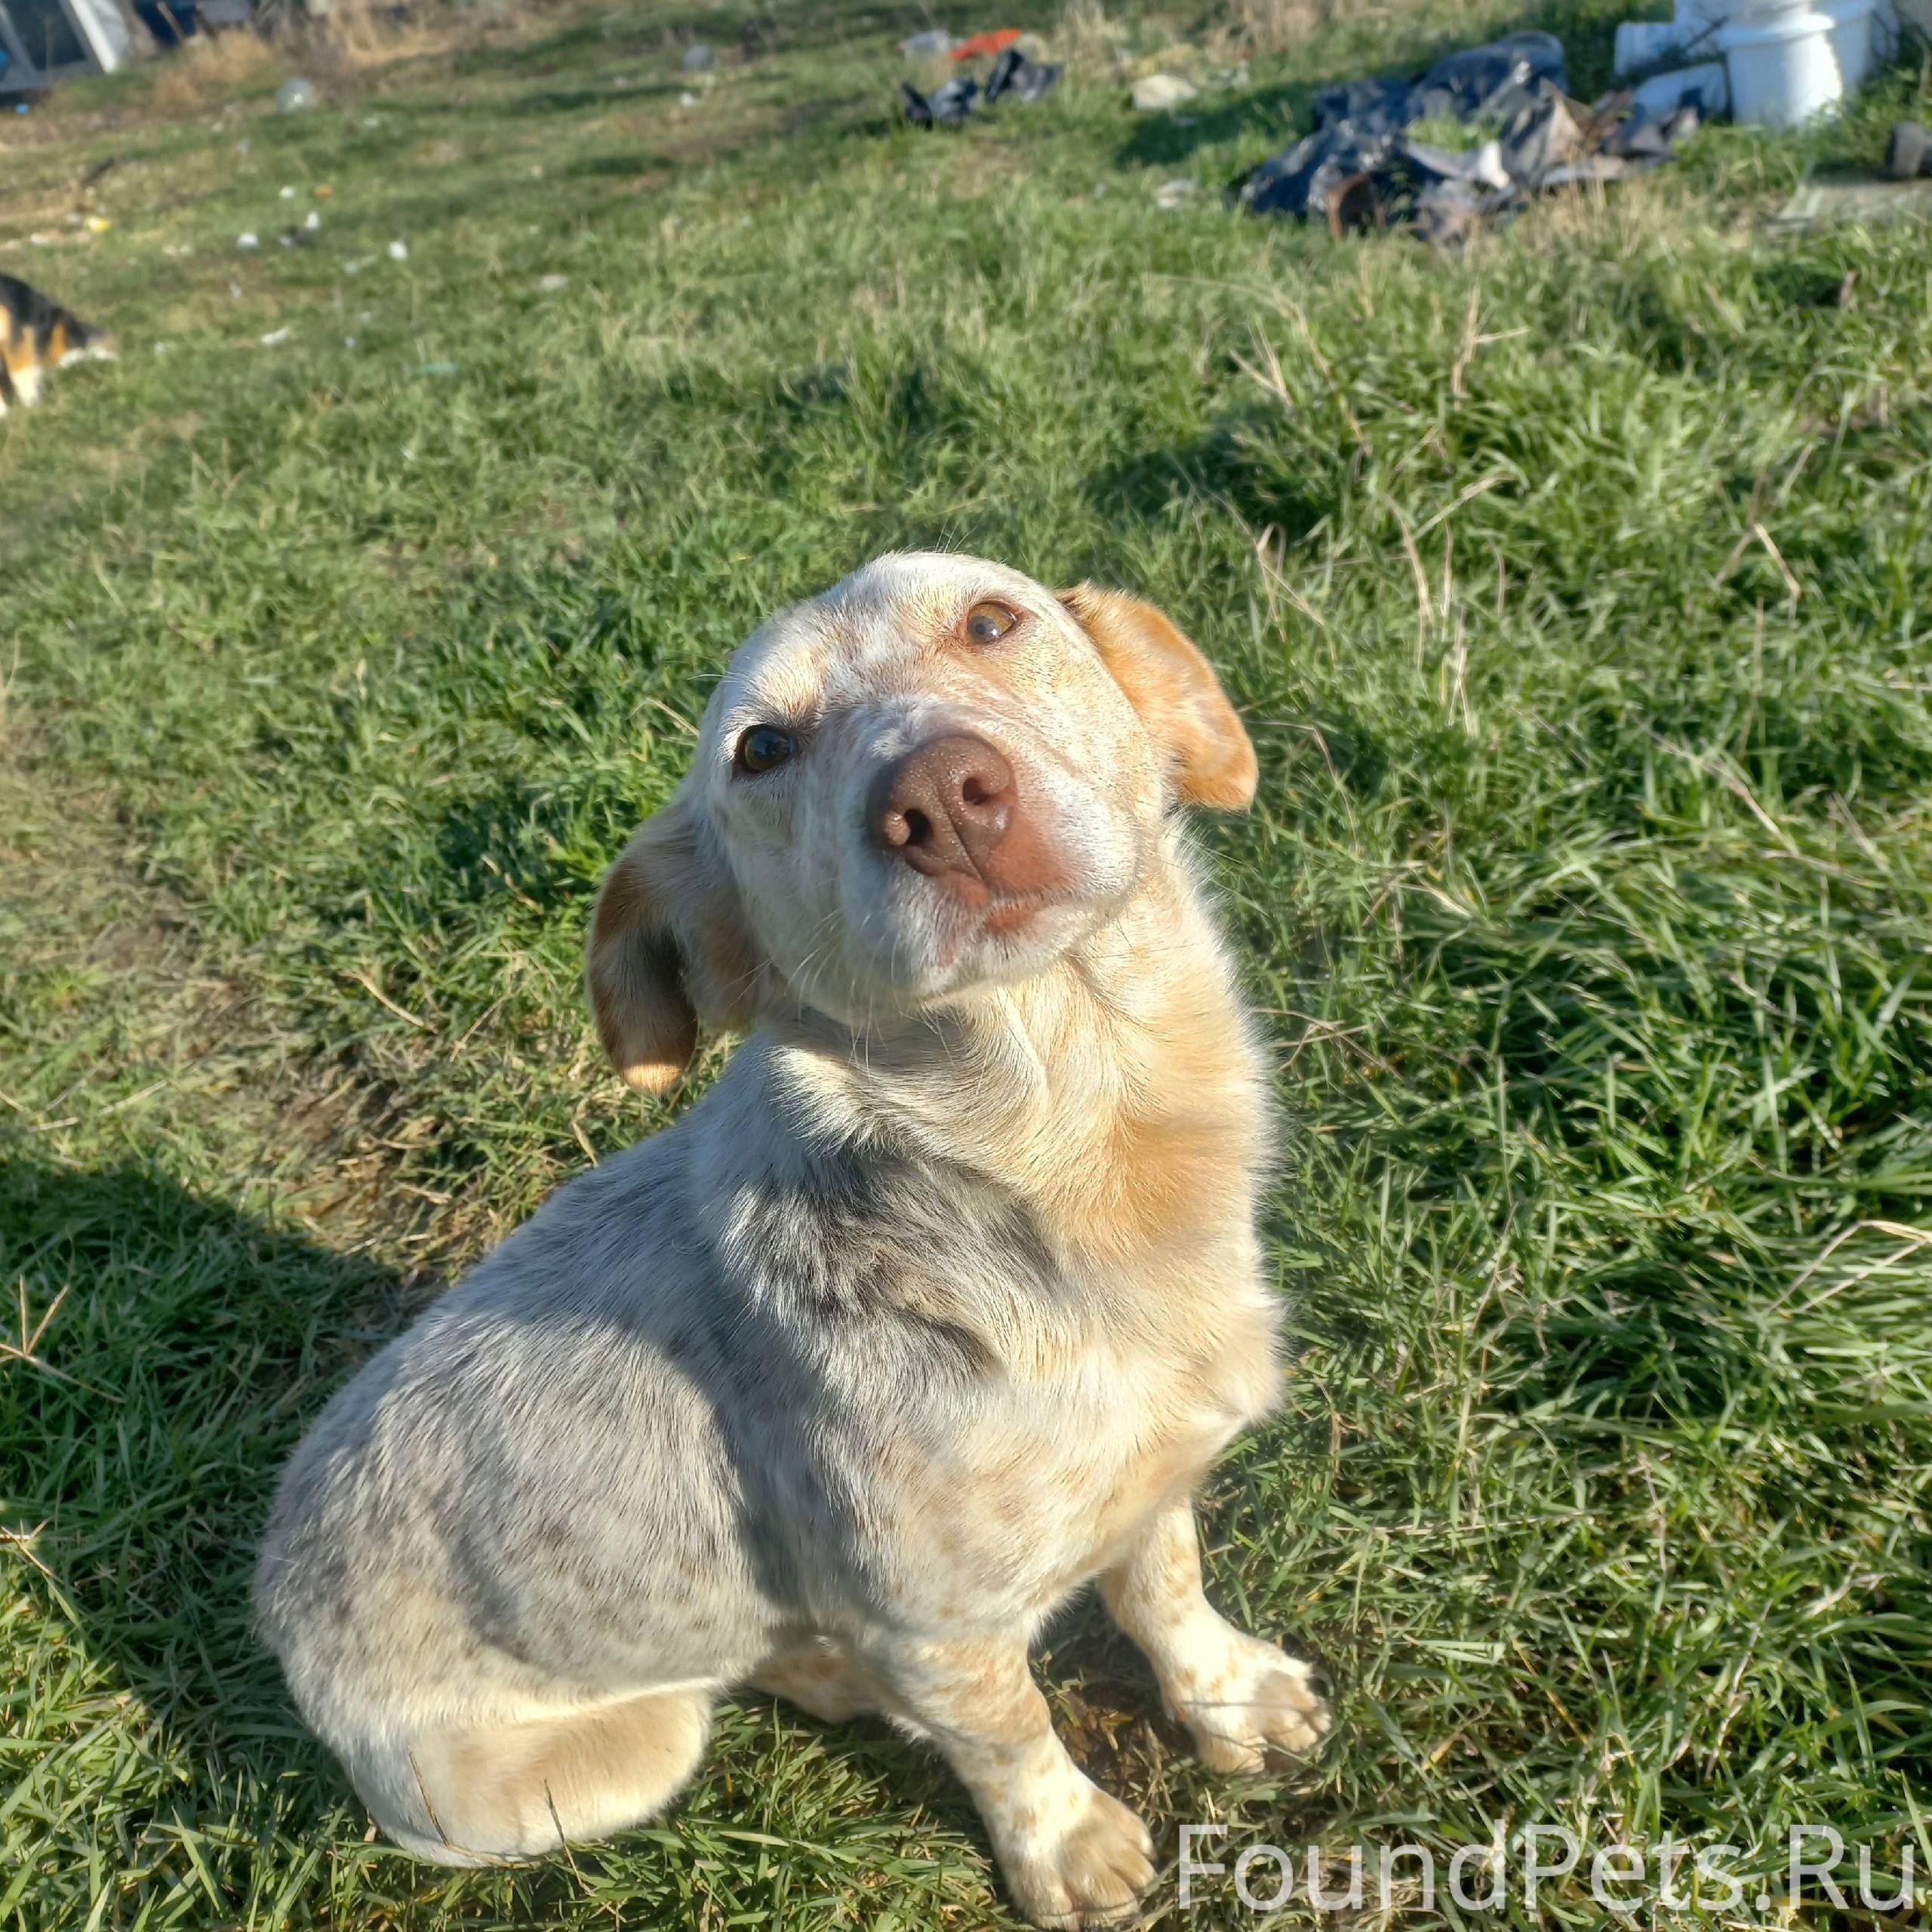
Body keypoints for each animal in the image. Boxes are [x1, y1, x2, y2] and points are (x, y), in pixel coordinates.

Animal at [257, 552, 1337, 1924]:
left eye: (993, 620)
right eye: (761, 749)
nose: (939, 798)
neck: (1084, 1166)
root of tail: (270, 1588)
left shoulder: (1154, 1476)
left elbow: (1169, 1587)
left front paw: (1226, 1696)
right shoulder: (937, 1631)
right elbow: (1012, 1732)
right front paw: (1069, 1847)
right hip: (612, 1759)